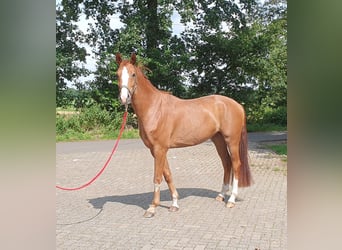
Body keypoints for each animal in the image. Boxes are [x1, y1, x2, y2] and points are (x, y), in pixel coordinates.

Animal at [116, 53, 252, 218]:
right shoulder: (156, 150)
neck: (154, 109)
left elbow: (157, 177)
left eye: (133, 74)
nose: (124, 98)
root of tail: (237, 105)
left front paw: (152, 207)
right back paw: (221, 195)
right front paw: (174, 203)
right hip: (218, 140)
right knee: (227, 164)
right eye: (117, 74)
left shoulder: (160, 149)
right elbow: (168, 174)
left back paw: (231, 199)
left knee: (236, 164)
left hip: (231, 140)